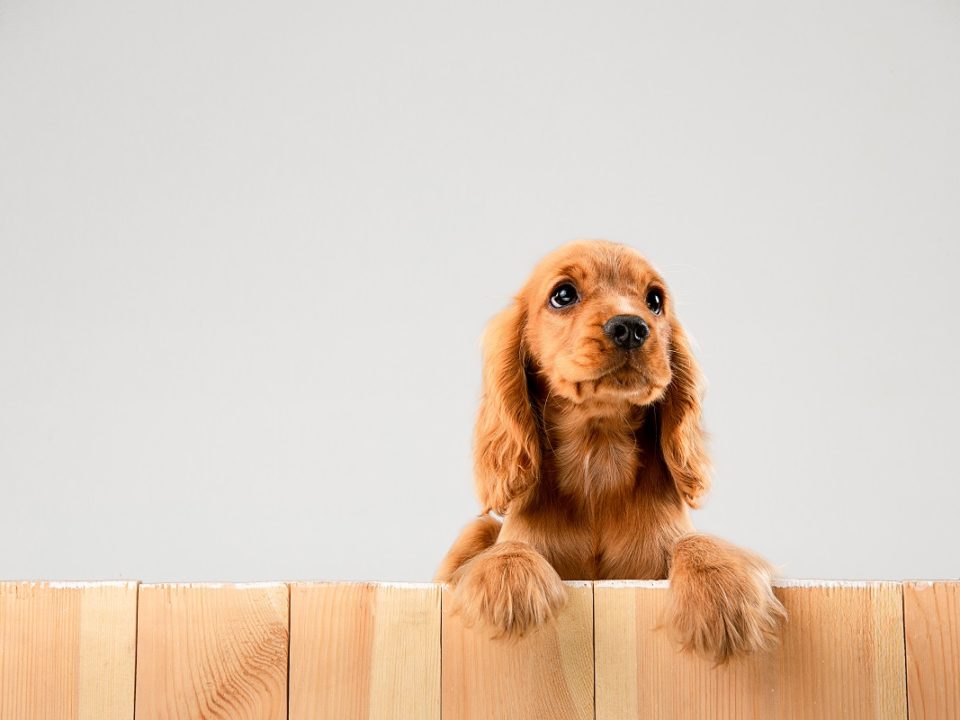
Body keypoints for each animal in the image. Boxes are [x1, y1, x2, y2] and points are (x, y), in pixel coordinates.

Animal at [438, 240, 784, 664]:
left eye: (655, 300)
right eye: (563, 294)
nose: (631, 328)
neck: (598, 452)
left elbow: (692, 540)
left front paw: (720, 590)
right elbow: (512, 546)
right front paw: (508, 583)